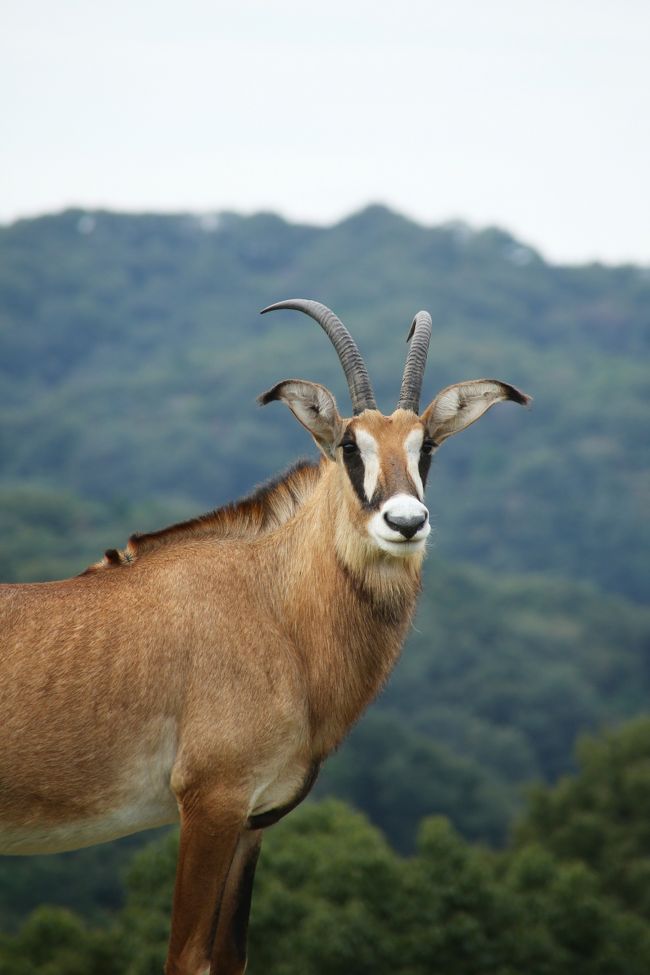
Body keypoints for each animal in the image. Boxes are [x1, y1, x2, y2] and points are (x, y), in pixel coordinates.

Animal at [0, 302, 528, 972]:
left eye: (426, 444)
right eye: (349, 446)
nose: (406, 522)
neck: (274, 612)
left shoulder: (254, 820)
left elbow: (230, 957)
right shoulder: (211, 803)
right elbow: (185, 957)